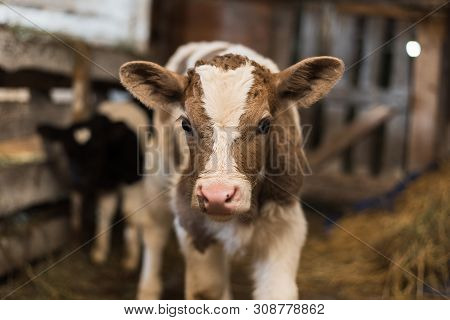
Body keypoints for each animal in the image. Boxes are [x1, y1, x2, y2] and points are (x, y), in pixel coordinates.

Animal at [119, 41, 344, 298]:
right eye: (186, 124)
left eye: (265, 124)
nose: (217, 195)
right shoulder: (192, 224)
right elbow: (208, 288)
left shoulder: (285, 224)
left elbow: (277, 292)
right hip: (158, 170)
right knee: (154, 230)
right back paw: (148, 289)